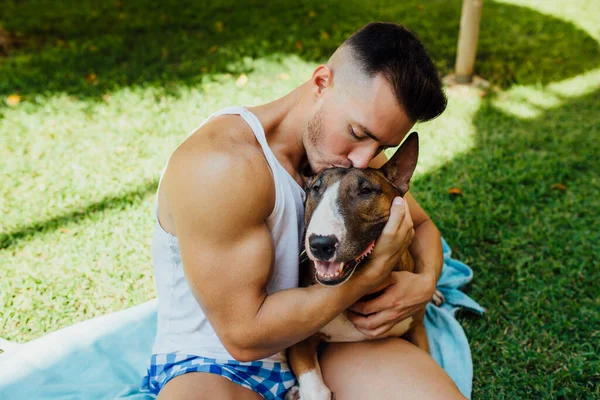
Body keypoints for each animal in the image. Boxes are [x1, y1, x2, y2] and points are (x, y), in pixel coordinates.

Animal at [286, 133, 436, 398]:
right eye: (316, 189)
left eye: (365, 190)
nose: (320, 244)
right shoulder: (298, 342)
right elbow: (317, 390)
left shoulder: (417, 329)